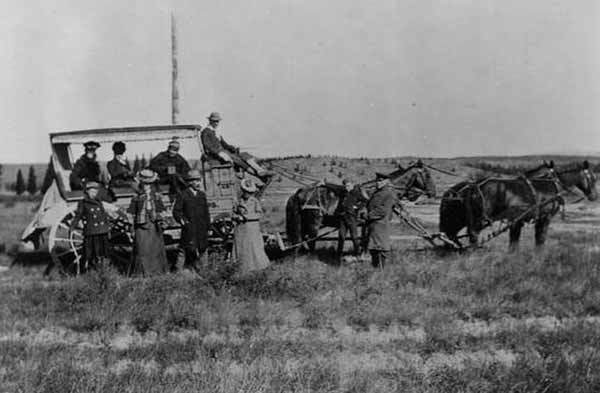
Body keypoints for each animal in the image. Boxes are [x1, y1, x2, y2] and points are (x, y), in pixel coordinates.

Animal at [286, 162, 436, 251]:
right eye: (428, 175)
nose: (433, 193)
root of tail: (300, 192)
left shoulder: (365, 223)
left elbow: (364, 239)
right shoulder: (369, 223)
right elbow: (366, 239)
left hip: (303, 222)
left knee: (301, 239)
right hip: (313, 222)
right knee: (309, 240)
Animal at [438, 159, 596, 248]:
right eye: (593, 178)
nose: (594, 195)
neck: (550, 184)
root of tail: (474, 186)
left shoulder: (516, 221)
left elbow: (515, 242)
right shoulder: (544, 218)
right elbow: (540, 239)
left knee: (452, 234)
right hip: (478, 219)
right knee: (472, 234)